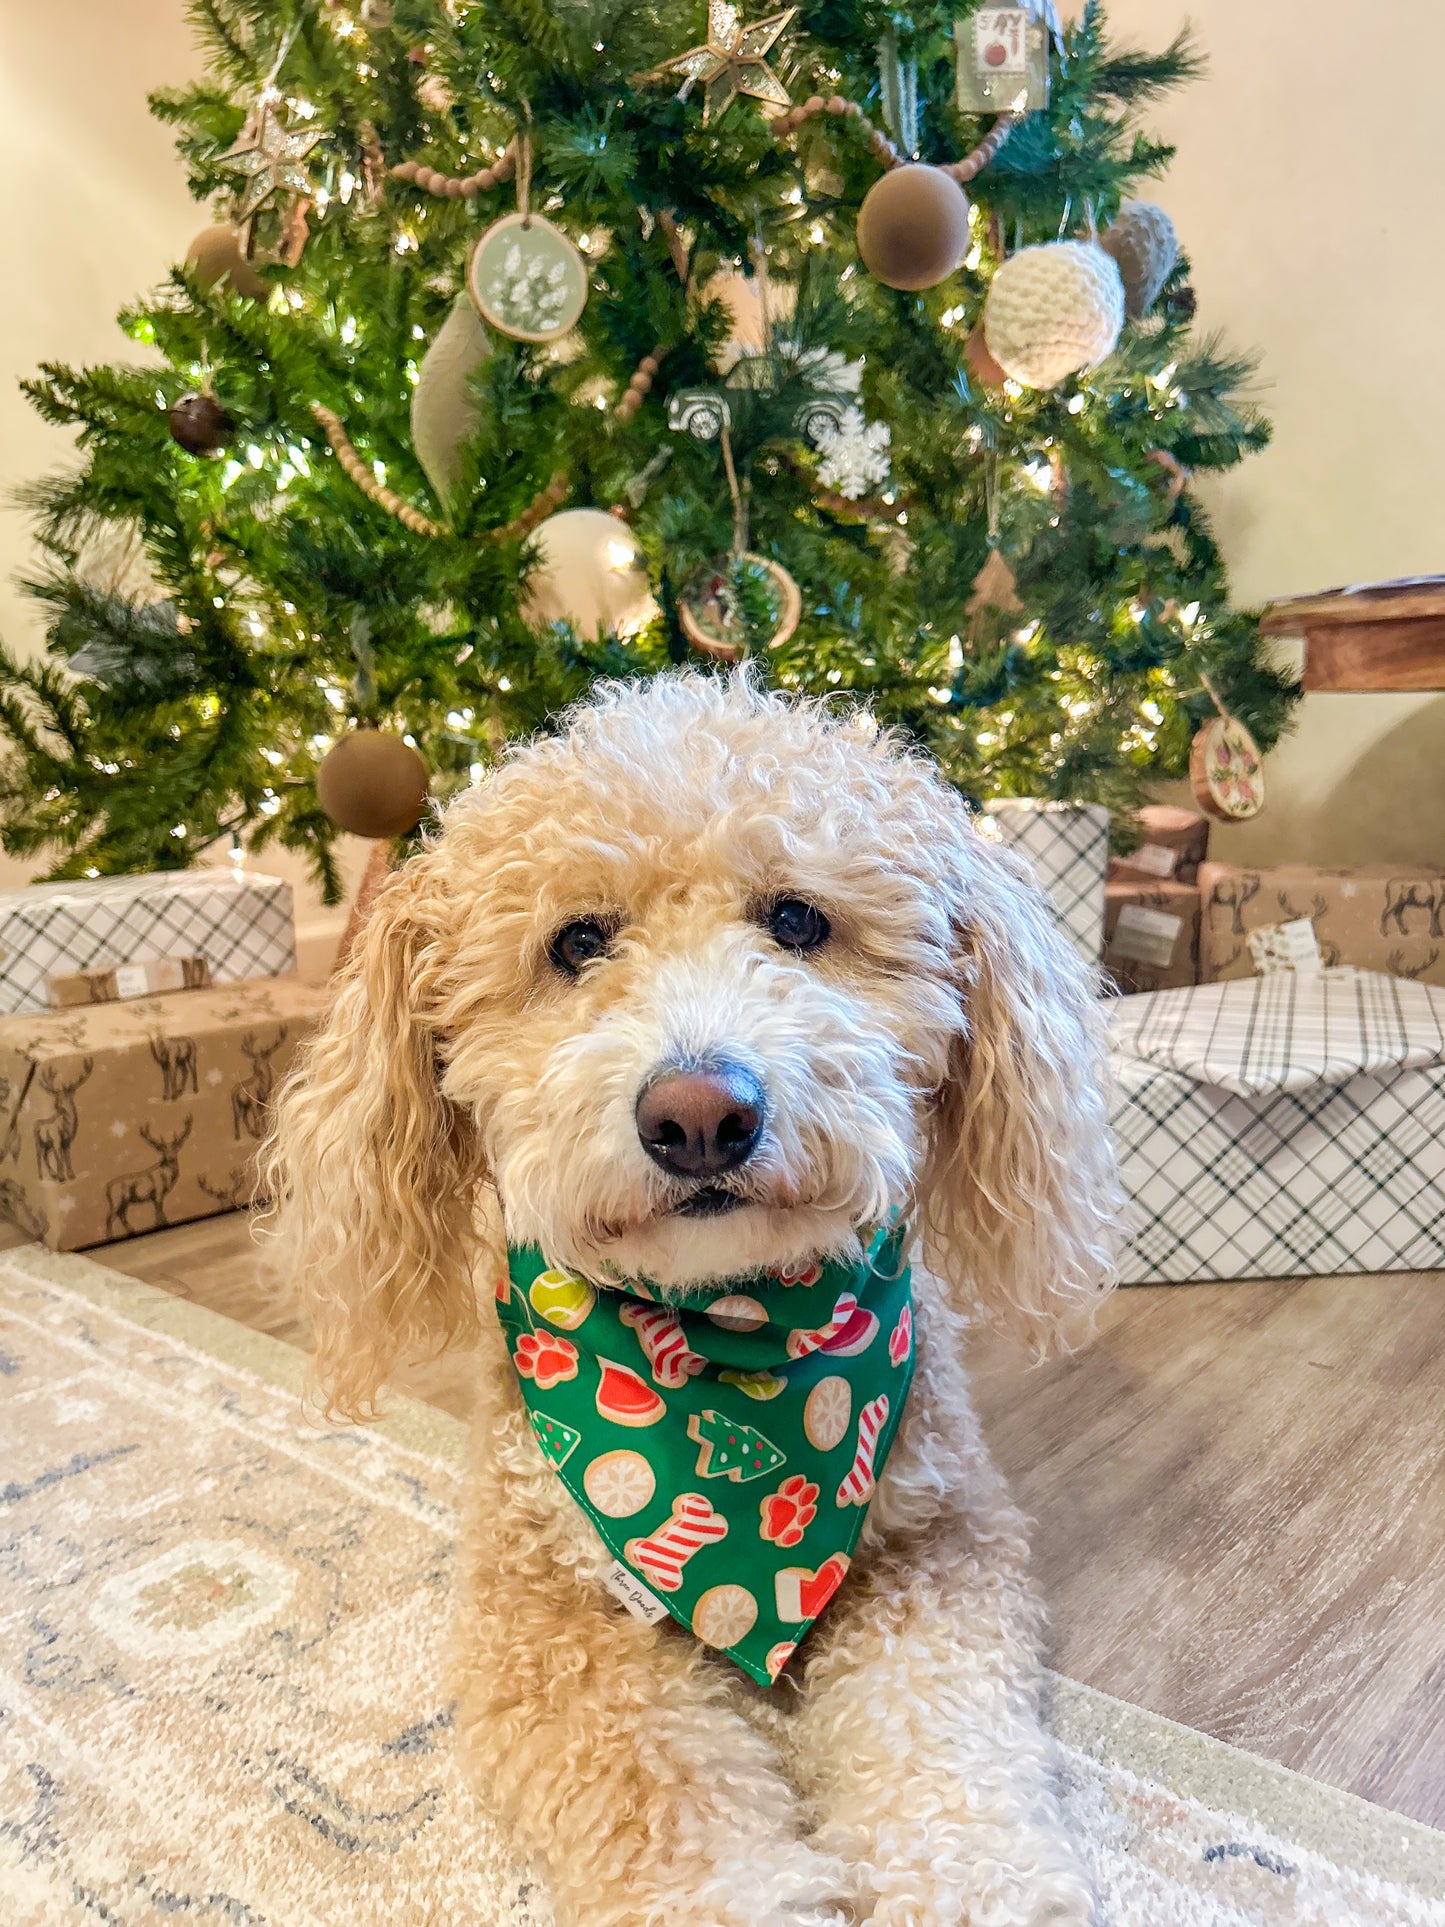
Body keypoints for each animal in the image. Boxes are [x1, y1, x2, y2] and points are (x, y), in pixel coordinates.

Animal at [265, 666, 1125, 1927]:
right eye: (576, 942)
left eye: (797, 920)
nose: (701, 1115)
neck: (730, 1341)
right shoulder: (547, 1627)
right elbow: (672, 1812)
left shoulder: (942, 1545)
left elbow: (940, 1745)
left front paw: (982, 1885)